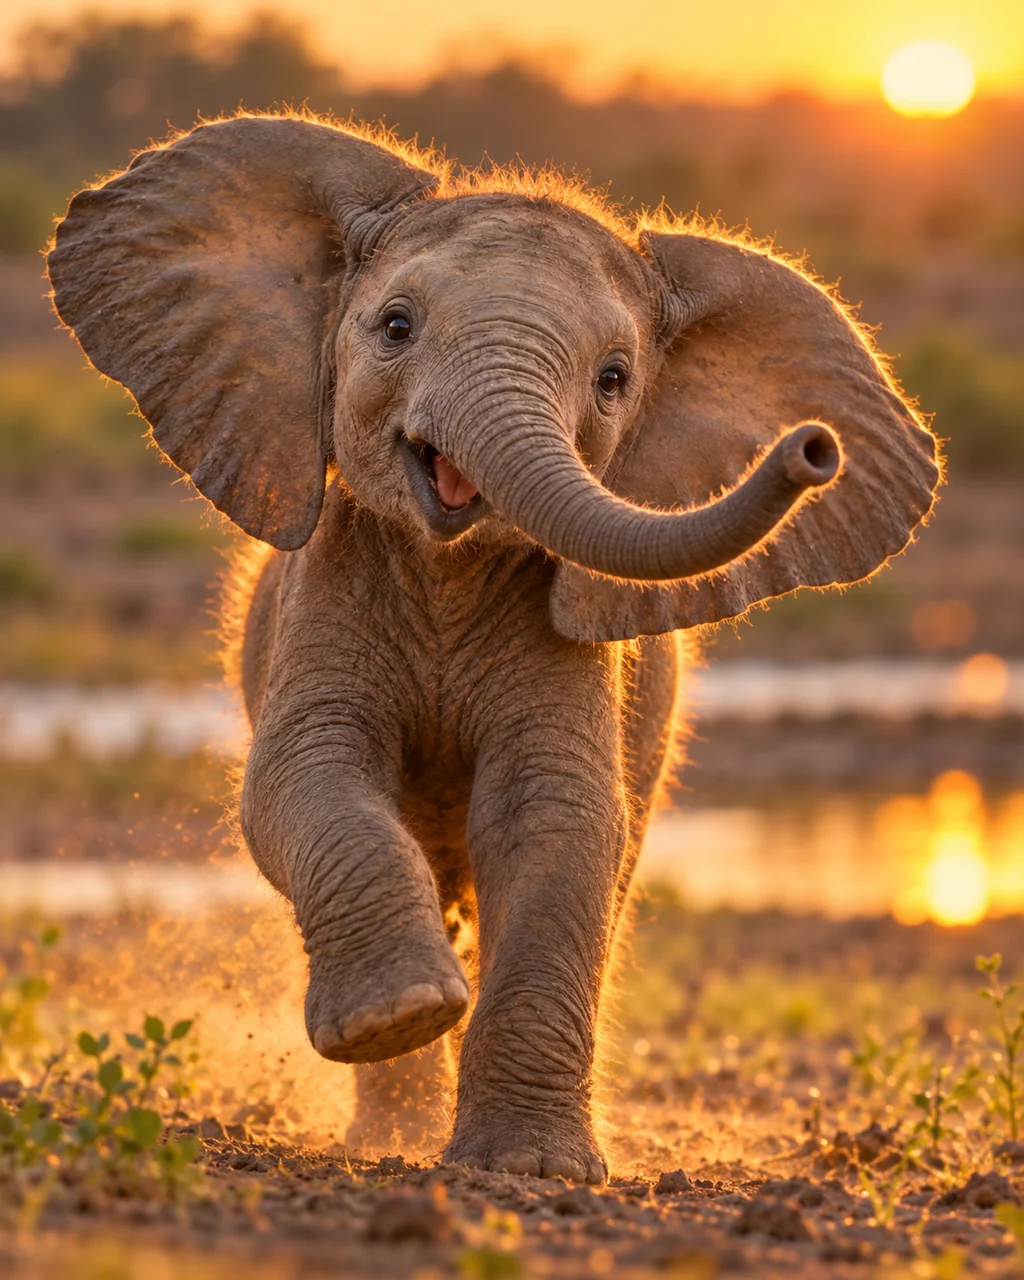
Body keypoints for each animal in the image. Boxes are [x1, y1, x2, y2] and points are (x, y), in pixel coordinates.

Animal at [47, 113, 940, 1183]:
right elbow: (304, 776)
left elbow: (557, 820)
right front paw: (400, 1014)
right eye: (395, 326)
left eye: (613, 381)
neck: (449, 560)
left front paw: (531, 1171)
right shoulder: (330, 586)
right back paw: (389, 1135)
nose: (812, 448)